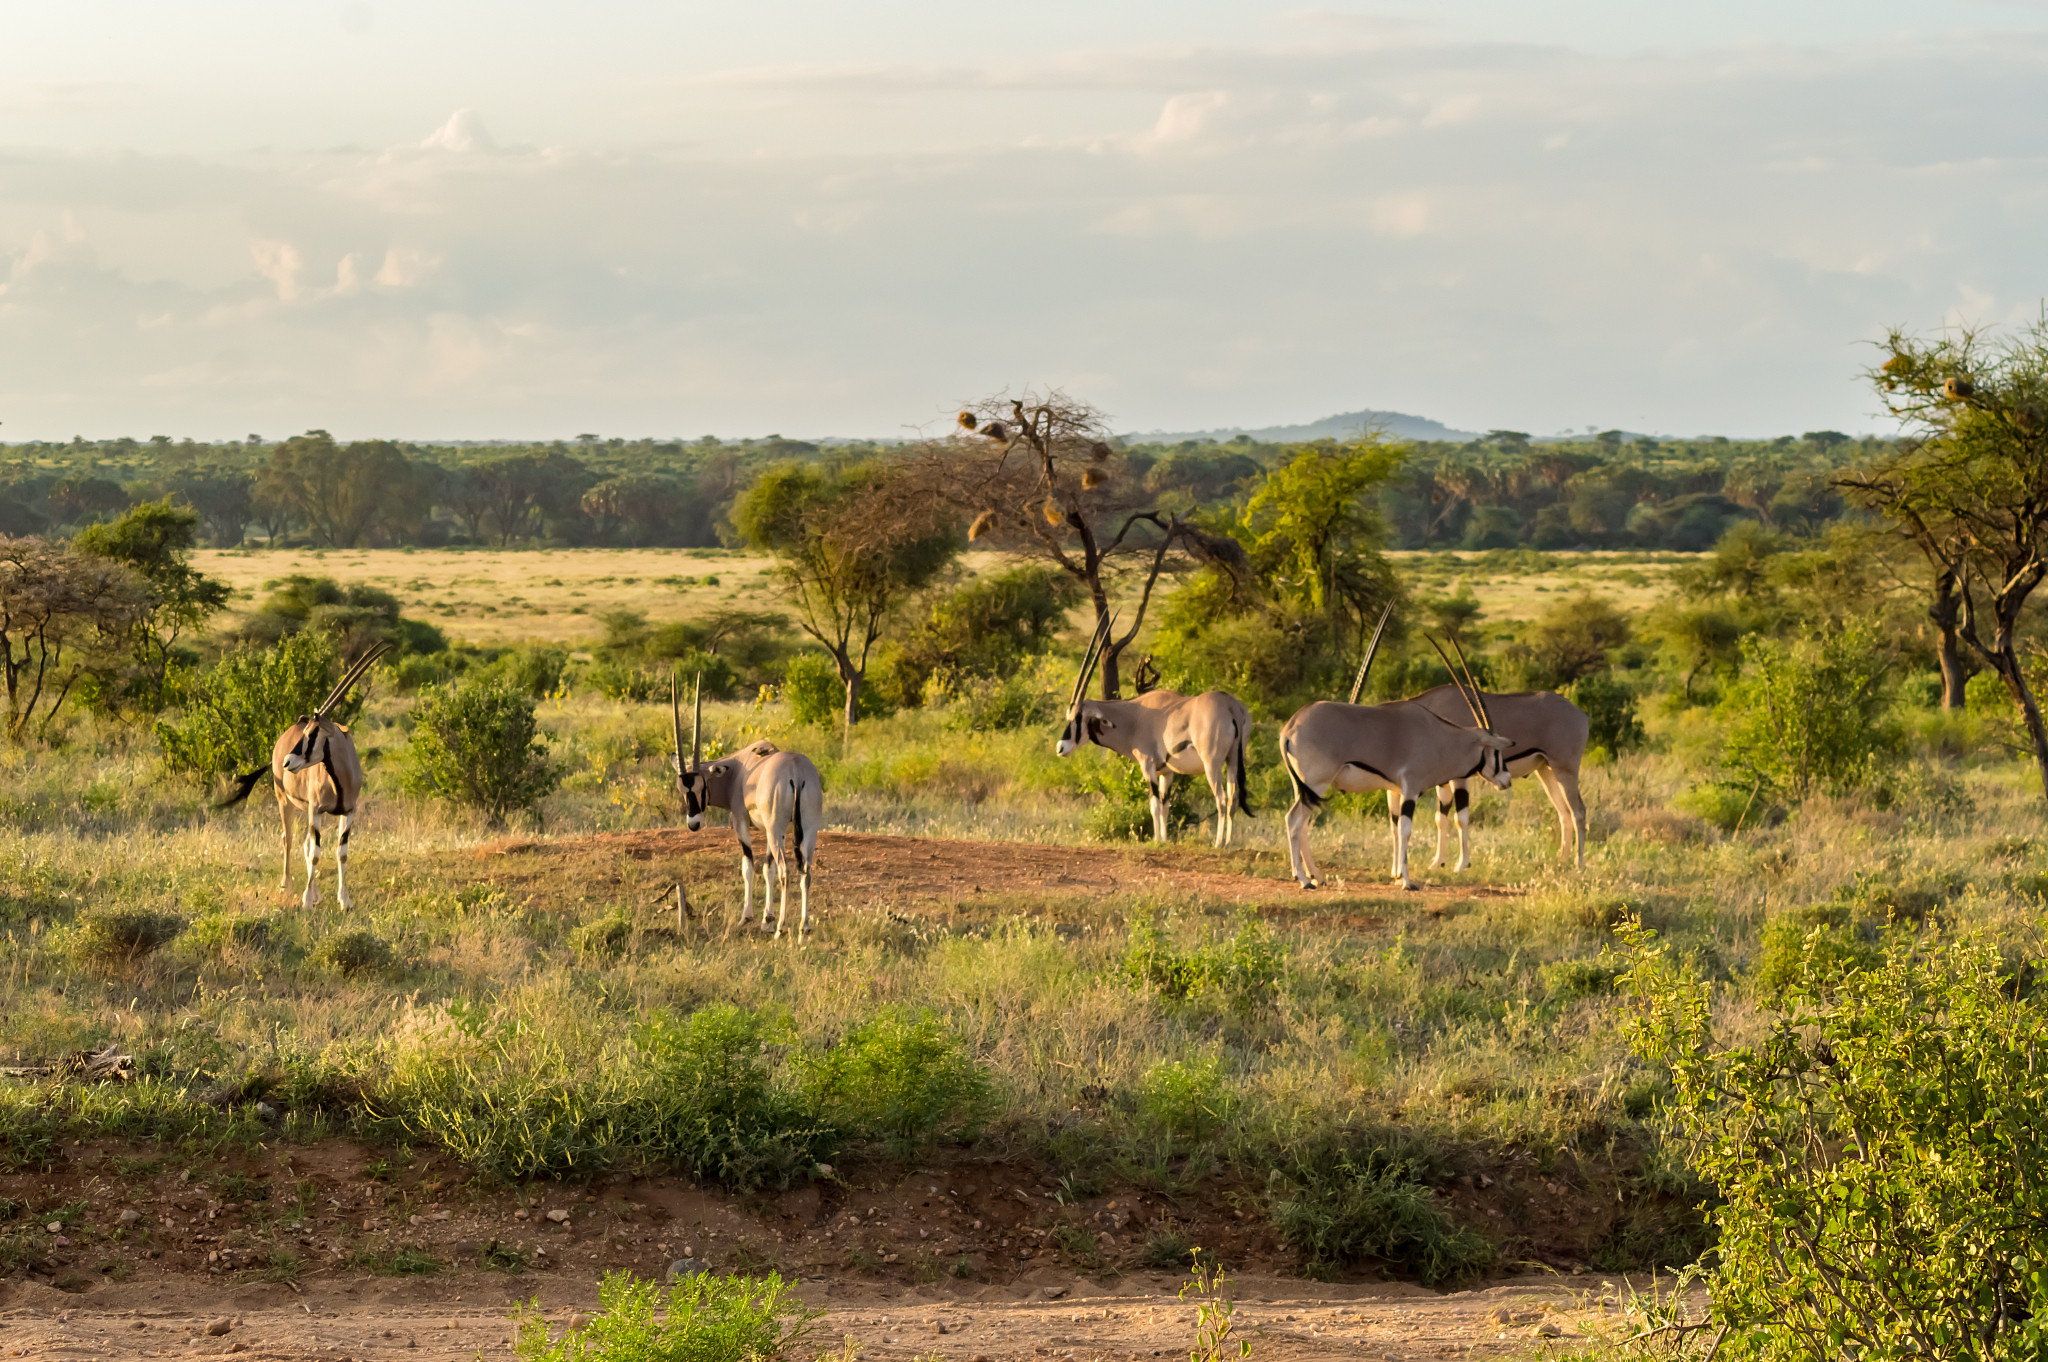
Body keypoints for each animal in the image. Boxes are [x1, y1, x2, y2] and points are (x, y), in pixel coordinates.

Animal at [218, 641, 390, 910]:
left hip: (308, 810)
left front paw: (344, 900)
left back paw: (315, 892)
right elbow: (316, 853)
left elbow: (341, 852)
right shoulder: (316, 810)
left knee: (306, 843)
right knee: (288, 839)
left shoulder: (348, 812)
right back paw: (287, 886)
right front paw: (307, 901)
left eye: (313, 734)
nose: (288, 761)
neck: (341, 777)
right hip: (285, 802)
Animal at [671, 673, 824, 938]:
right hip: (805, 830)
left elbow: (749, 867)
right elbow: (767, 868)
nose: (694, 824)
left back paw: (782, 929)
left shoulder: (741, 822)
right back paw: (803, 929)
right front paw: (767, 919)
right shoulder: (774, 832)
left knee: (785, 872)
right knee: (806, 871)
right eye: (682, 790)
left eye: (701, 787)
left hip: (776, 829)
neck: (739, 770)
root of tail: (797, 772)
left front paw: (749, 917)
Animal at [1054, 615, 1253, 846]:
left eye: (1078, 717)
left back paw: (1218, 843)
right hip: (1233, 760)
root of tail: (1231, 706)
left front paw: (1157, 839)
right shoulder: (1166, 771)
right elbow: (1165, 806)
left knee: (1221, 798)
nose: (1061, 748)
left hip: (1212, 763)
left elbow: (1154, 805)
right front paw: (1164, 840)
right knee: (1233, 798)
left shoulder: (1147, 765)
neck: (1135, 716)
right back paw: (1228, 842)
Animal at [1280, 638, 1514, 891]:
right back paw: (1303, 878)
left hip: (1305, 788)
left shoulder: (1394, 790)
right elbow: (1405, 830)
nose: (1507, 780)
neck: (1438, 735)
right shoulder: (1411, 788)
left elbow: (1394, 828)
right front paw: (1408, 881)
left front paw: (1397, 875)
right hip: (1317, 784)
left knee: (1302, 825)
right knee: (1294, 821)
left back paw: (1316, 876)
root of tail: (1290, 727)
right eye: (1497, 751)